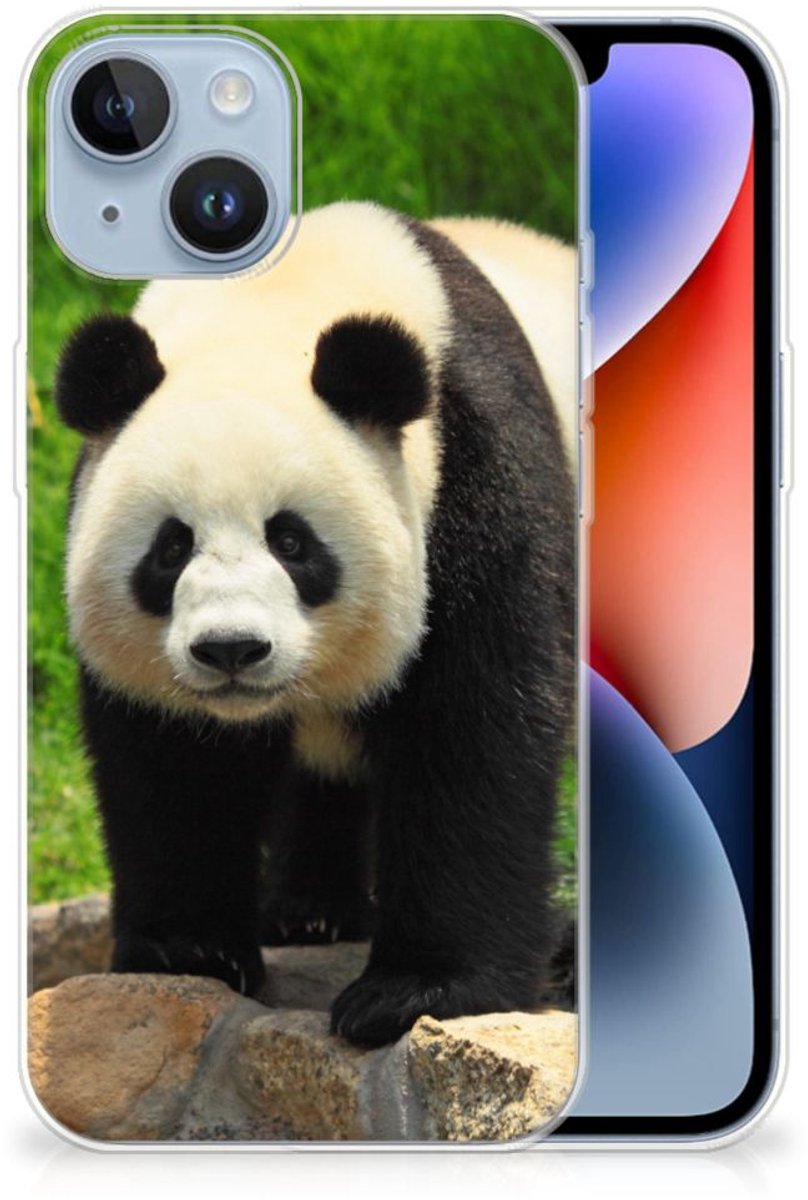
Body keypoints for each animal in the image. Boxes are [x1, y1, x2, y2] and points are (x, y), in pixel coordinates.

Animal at [55, 202, 576, 1047]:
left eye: (292, 541)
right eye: (171, 547)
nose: (231, 649)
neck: (275, 305)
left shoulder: (477, 477)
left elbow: (474, 731)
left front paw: (417, 992)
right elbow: (174, 761)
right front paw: (189, 949)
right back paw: (309, 912)